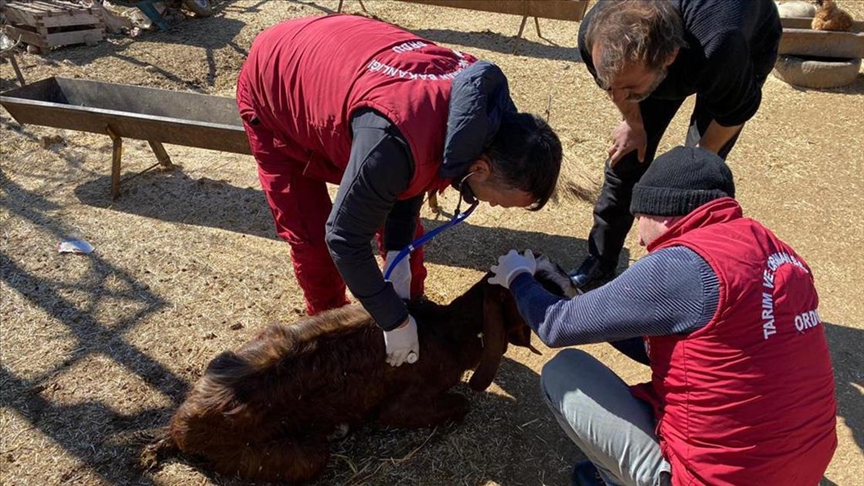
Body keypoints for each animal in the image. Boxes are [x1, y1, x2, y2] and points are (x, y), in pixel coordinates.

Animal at [145, 254, 576, 482]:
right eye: (540, 286)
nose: (577, 291)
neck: (446, 328)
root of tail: (178, 428)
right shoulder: (399, 407)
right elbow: (459, 404)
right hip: (296, 455)